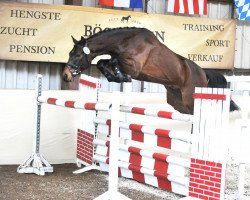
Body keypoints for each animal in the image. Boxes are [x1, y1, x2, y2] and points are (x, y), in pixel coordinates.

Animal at [62, 27, 238, 114]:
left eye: (77, 55)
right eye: (69, 54)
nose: (65, 76)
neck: (125, 42)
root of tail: (203, 73)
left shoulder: (134, 67)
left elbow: (114, 61)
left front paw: (121, 76)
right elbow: (102, 62)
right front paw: (115, 76)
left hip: (191, 98)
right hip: (178, 102)